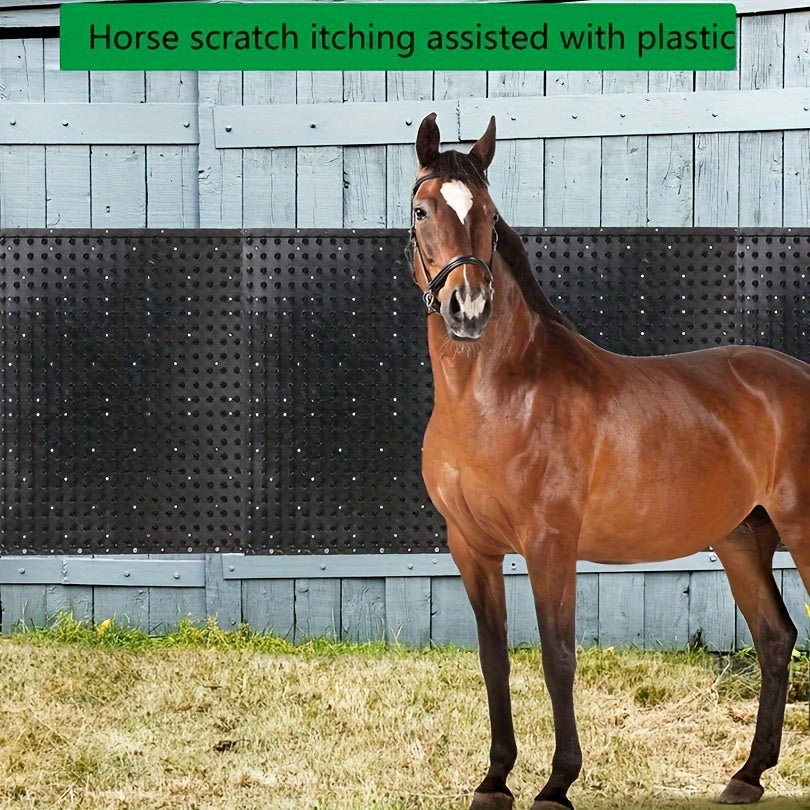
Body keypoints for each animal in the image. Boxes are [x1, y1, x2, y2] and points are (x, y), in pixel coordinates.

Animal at [408, 112, 810, 810]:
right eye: (422, 209)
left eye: (488, 214)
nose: (468, 309)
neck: (499, 396)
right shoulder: (471, 547)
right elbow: (493, 659)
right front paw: (494, 779)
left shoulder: (550, 543)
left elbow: (557, 656)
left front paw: (557, 782)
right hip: (742, 538)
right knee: (773, 637)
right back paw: (747, 774)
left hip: (804, 529)